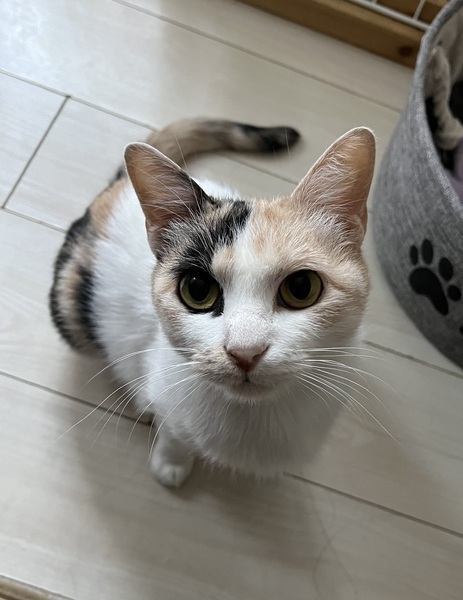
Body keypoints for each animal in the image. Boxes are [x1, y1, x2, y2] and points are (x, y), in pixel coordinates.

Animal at [50, 118, 375, 487]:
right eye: (197, 290)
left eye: (302, 287)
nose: (245, 351)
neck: (252, 417)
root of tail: (119, 188)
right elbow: (173, 432)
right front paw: (170, 463)